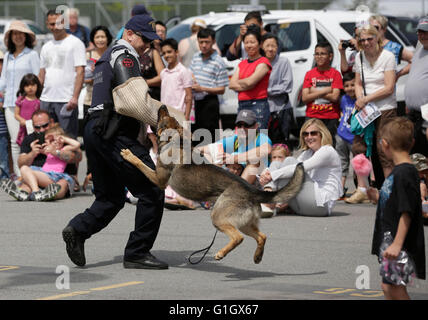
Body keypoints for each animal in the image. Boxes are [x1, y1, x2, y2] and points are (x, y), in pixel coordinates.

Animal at [120, 106, 304, 264]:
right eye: (170, 117)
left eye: (163, 117)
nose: (163, 105)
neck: (174, 141)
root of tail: (252, 191)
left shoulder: (159, 180)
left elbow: (141, 164)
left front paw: (129, 154)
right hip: (244, 222)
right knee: (262, 236)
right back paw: (257, 257)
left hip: (218, 218)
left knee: (238, 238)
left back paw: (221, 253)